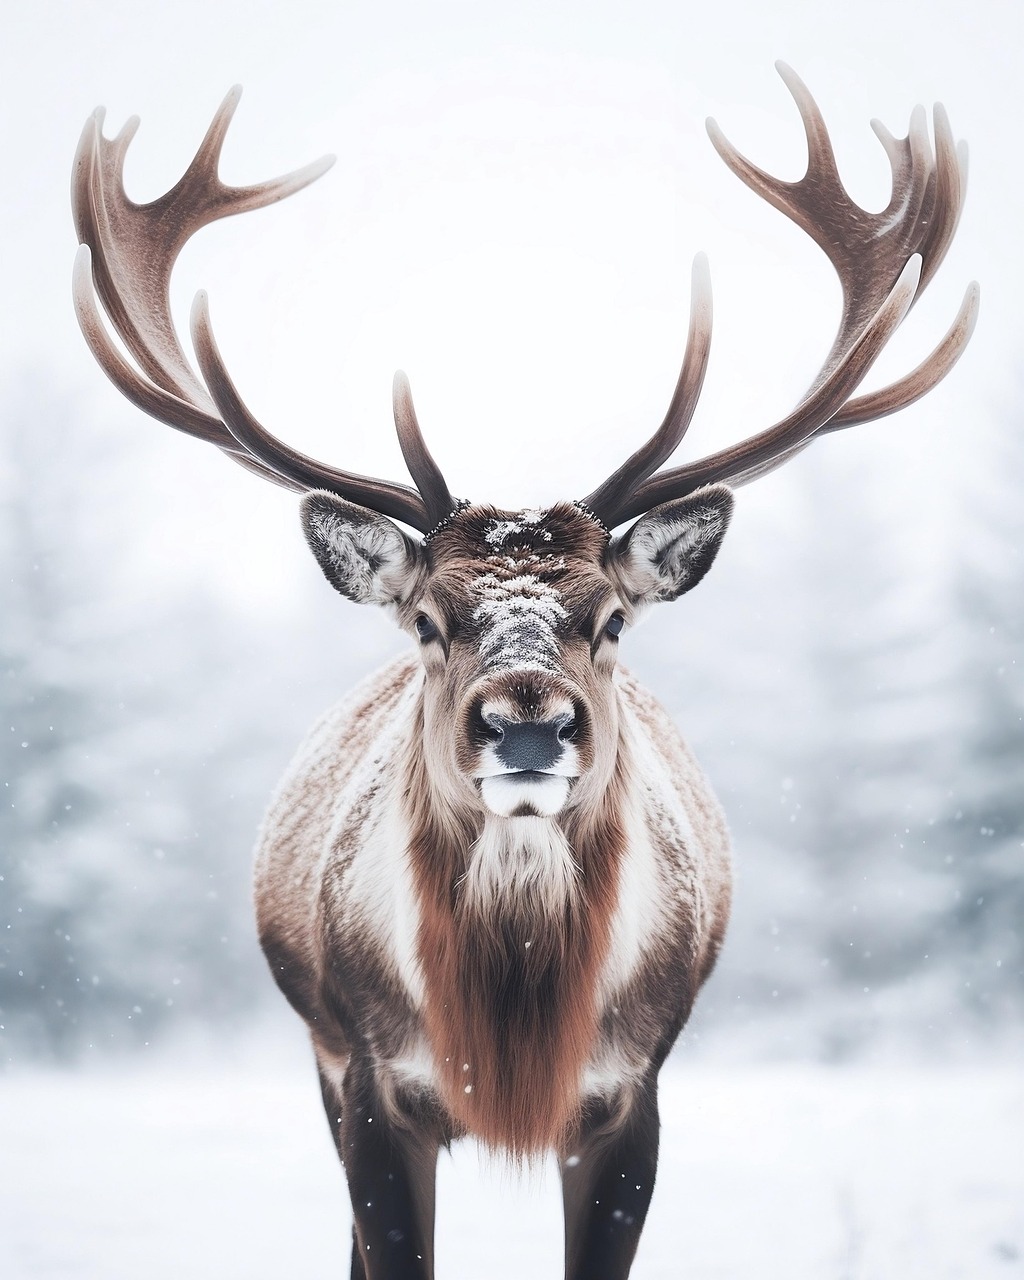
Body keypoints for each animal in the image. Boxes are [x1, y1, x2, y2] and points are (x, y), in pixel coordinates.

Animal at [72, 64, 977, 1280]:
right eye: (425, 619)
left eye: (612, 618)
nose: (529, 723)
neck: (507, 1035)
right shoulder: (372, 1075)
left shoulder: (633, 1085)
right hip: (318, 1048)